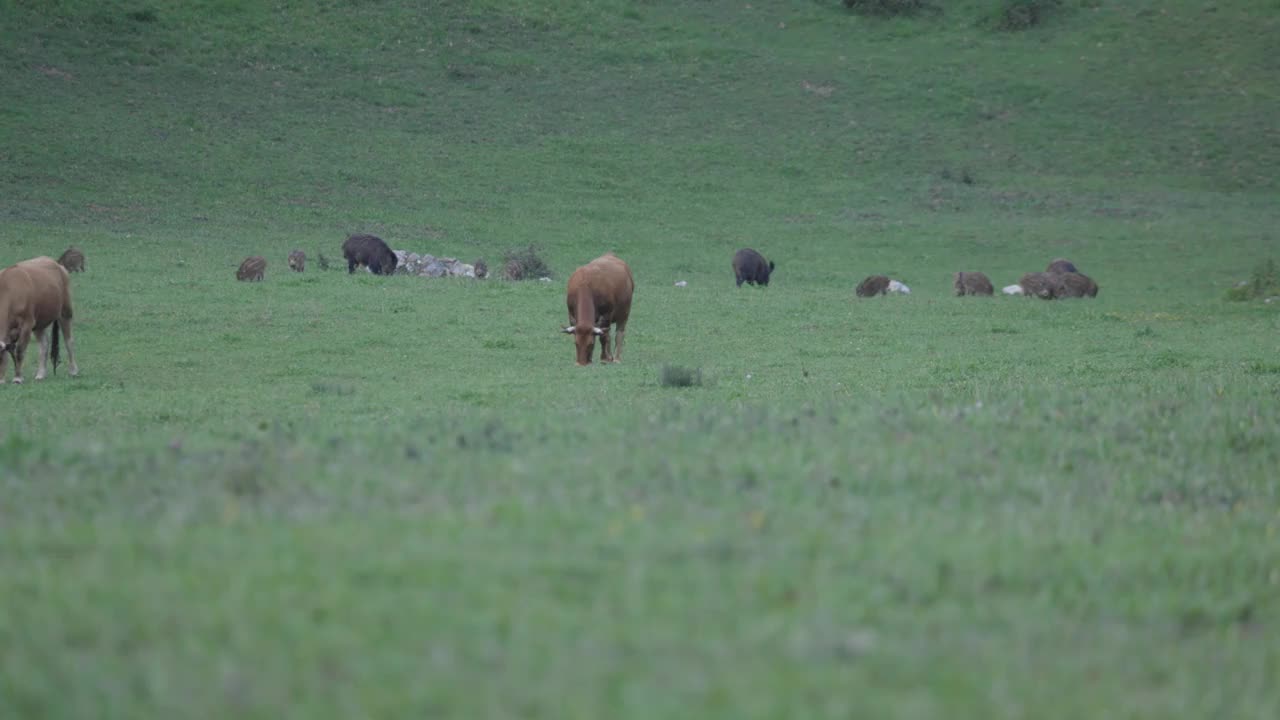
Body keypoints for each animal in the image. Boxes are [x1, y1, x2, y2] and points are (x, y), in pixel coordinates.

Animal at [0, 256, 79, 384]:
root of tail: (56, 264)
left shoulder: (27, 324)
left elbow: (20, 351)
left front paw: (18, 378)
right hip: (39, 323)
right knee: (44, 344)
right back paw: (41, 374)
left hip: (65, 312)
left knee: (69, 341)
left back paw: (73, 370)